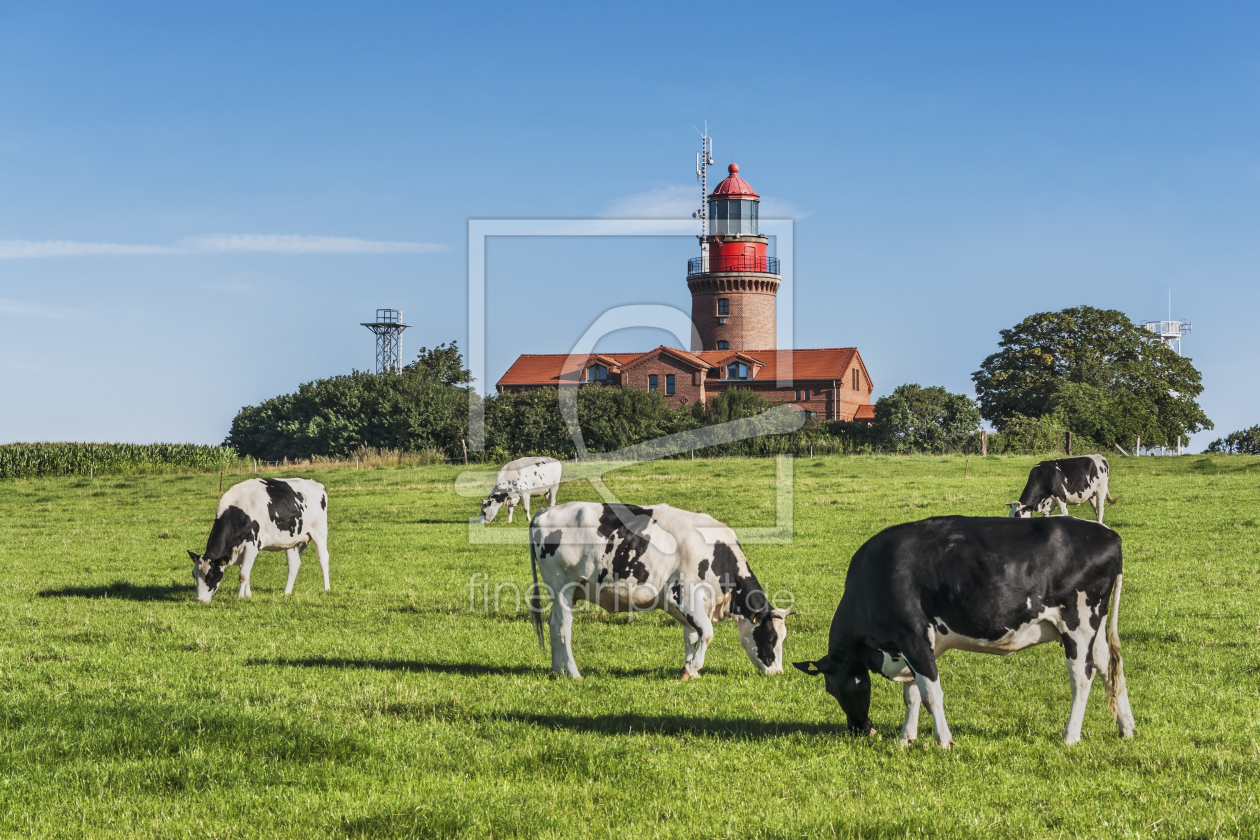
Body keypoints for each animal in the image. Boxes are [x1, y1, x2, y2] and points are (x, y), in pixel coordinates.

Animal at [186, 478, 332, 604]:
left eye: (210, 576)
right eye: (194, 574)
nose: (199, 599)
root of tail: (318, 485)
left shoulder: (252, 544)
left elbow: (243, 575)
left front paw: (240, 597)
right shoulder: (241, 549)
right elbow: (246, 571)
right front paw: (248, 595)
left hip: (319, 532)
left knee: (323, 559)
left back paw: (326, 588)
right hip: (291, 541)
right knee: (294, 564)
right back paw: (287, 592)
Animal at [526, 503, 791, 680]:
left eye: (782, 638)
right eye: (770, 638)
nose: (778, 672)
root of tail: (545, 512)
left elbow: (691, 635)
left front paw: (689, 669)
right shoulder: (685, 594)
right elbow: (706, 633)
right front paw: (691, 668)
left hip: (560, 593)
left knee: (552, 624)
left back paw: (556, 669)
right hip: (563, 587)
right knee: (564, 629)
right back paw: (573, 672)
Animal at [796, 518, 1144, 750]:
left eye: (832, 689)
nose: (861, 730)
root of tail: (1108, 533)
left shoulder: (913, 636)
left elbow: (931, 693)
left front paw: (944, 741)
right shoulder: (911, 646)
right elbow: (912, 694)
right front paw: (906, 738)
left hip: (1079, 624)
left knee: (1082, 677)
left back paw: (1070, 737)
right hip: (1095, 627)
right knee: (1110, 667)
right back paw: (1127, 729)